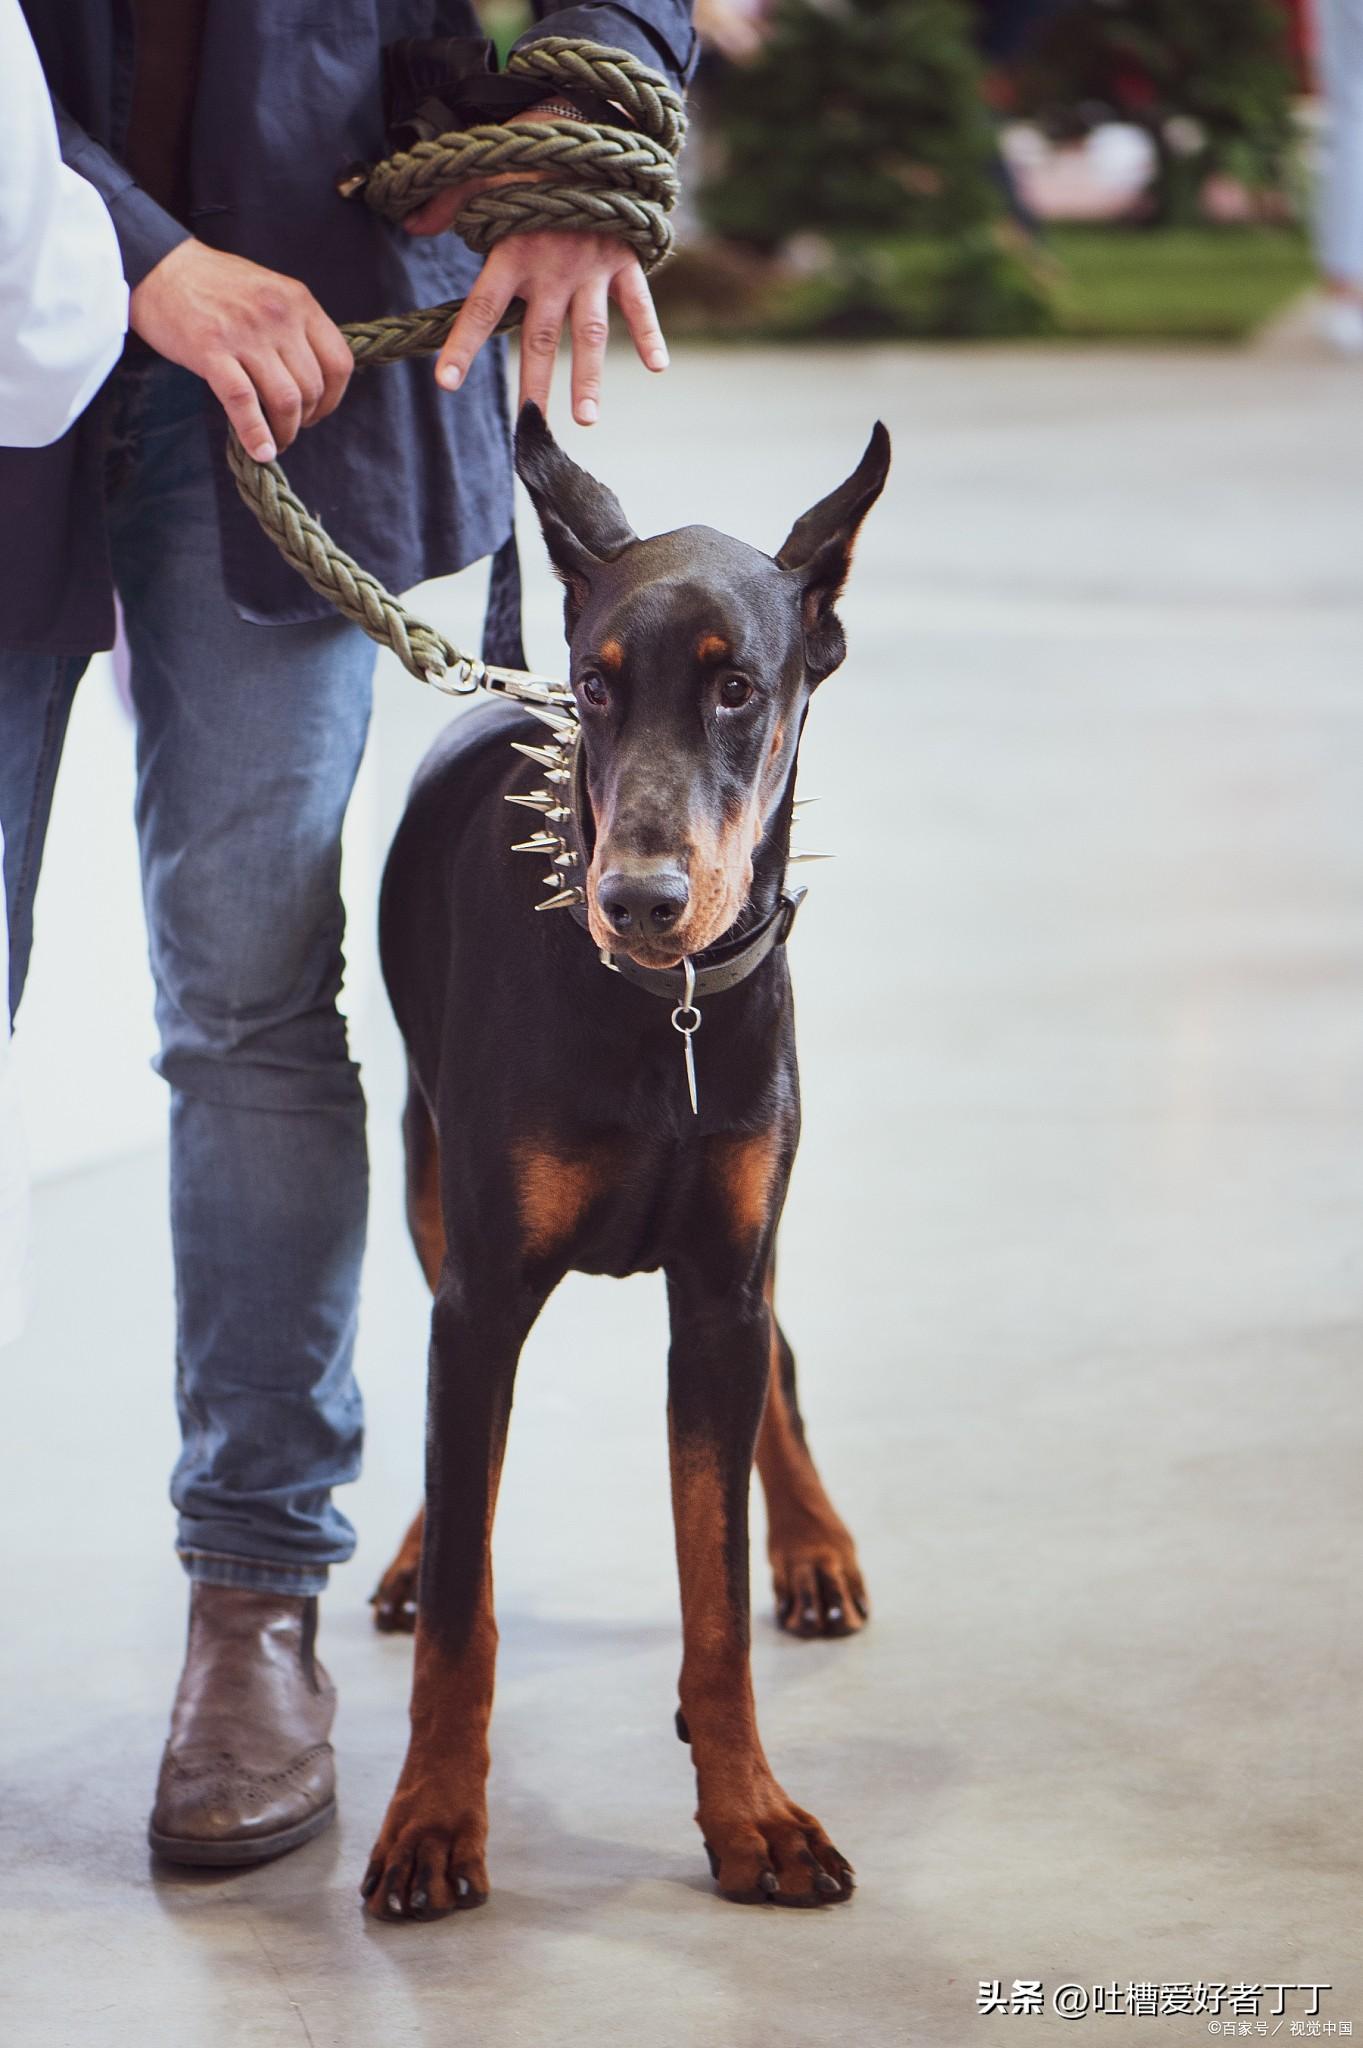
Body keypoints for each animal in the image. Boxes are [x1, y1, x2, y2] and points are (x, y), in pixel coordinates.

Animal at [360, 403, 892, 1916]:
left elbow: (714, 1600)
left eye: (738, 690)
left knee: (777, 1358)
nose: (638, 900)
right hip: (424, 1172)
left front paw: (752, 1816)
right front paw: (432, 1819)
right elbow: (466, 1601)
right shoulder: (484, 1293)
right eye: (597, 691)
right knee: (454, 1460)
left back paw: (813, 1542)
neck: (666, 1012)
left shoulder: (718, 1278)